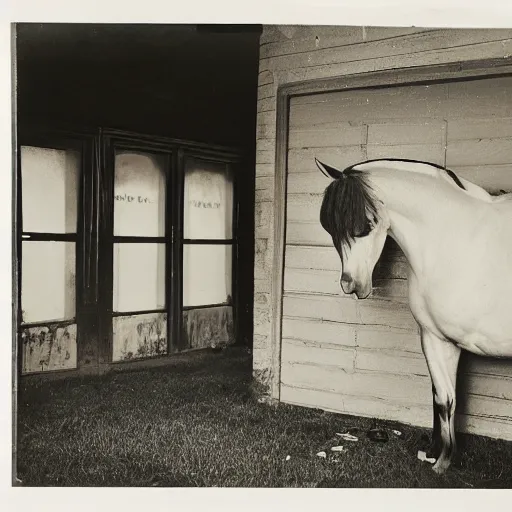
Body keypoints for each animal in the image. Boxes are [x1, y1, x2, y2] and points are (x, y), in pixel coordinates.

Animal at [316, 158, 512, 474]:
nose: (350, 285)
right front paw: (437, 456)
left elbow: (445, 399)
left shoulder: (446, 341)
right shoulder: (436, 338)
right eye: (330, 228)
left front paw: (442, 461)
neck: (459, 241)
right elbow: (442, 399)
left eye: (365, 226)